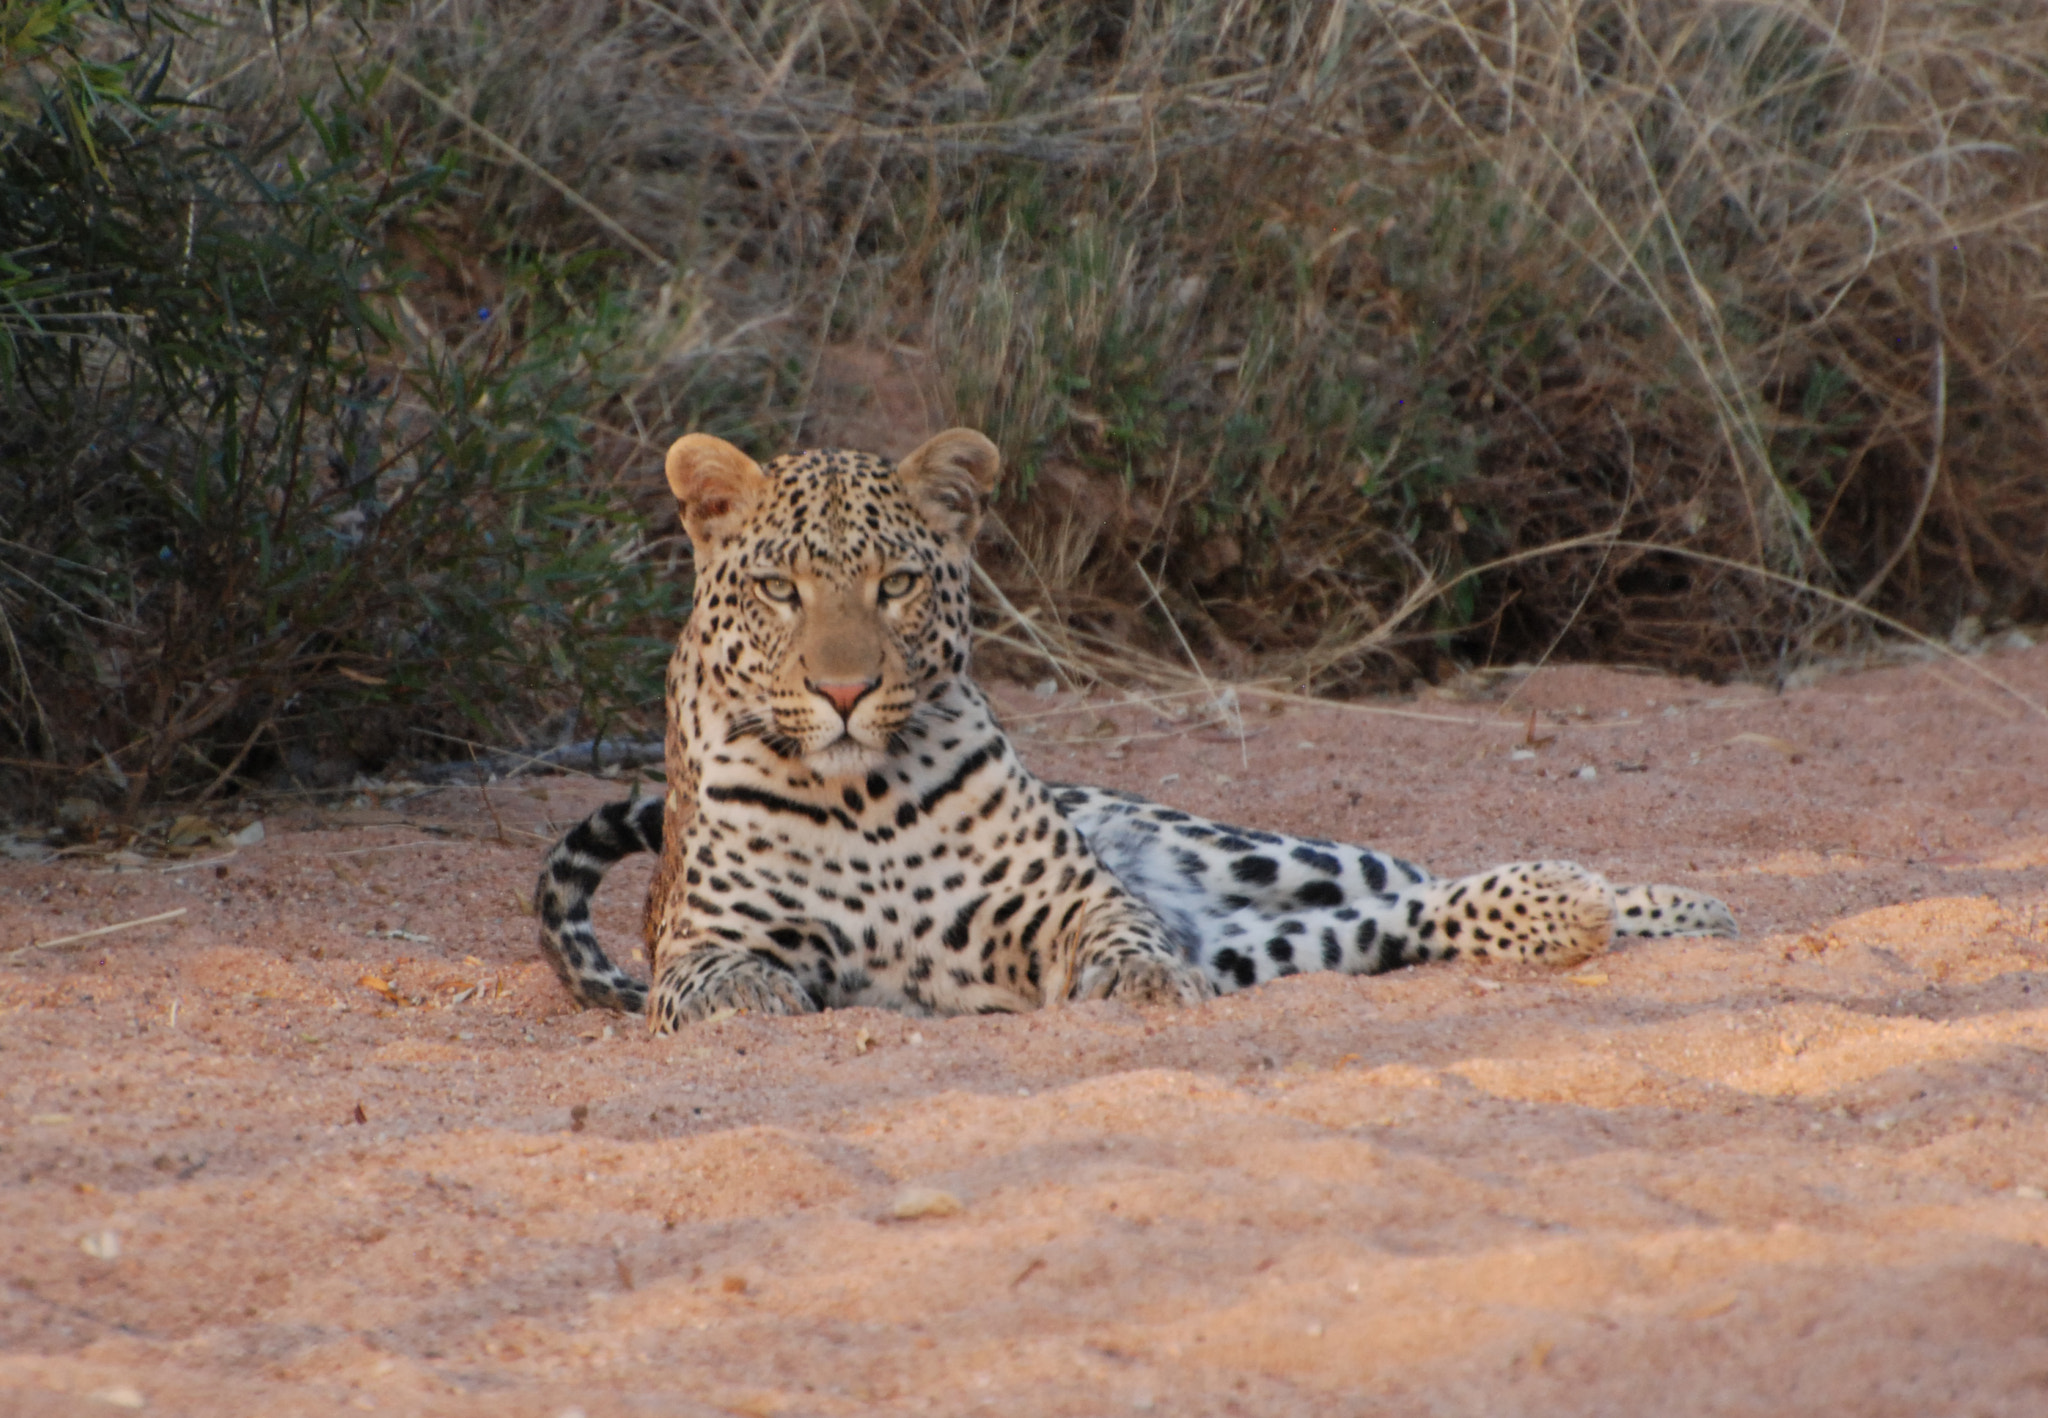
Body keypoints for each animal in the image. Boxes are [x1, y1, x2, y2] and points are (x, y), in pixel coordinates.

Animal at [535, 428, 1736, 1032]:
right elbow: (714, 979)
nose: (842, 690)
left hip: (1255, 854)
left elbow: (1123, 938)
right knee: (1396, 919)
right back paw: (1578, 910)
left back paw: (1668, 904)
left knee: (1408, 874)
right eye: (779, 589)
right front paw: (752, 1000)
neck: (859, 792)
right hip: (1274, 938)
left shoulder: (1072, 902)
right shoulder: (698, 939)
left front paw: (1141, 986)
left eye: (896, 584)